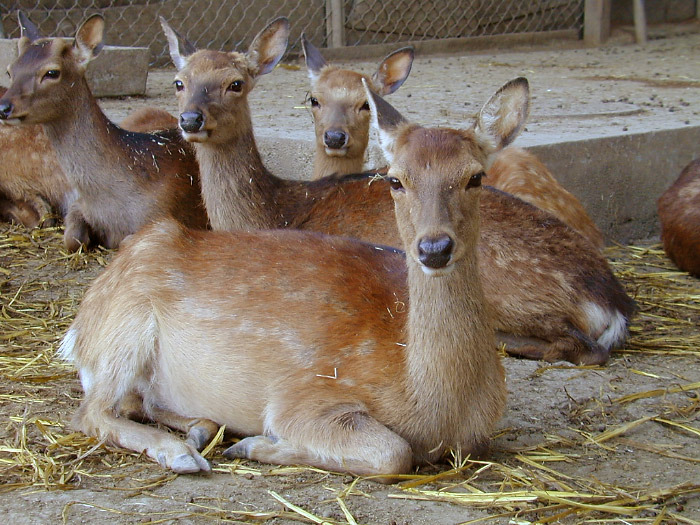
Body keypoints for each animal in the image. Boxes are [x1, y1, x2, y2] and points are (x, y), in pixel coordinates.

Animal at [0, 11, 208, 250]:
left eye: (52, 72)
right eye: (10, 71)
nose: (4, 107)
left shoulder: (166, 214)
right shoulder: (78, 204)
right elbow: (72, 239)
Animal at [58, 75, 524, 476]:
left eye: (475, 177)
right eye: (395, 180)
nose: (434, 248)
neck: (435, 406)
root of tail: (77, 332)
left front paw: (249, 444)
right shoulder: (302, 395)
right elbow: (393, 452)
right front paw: (257, 445)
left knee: (138, 402)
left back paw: (201, 430)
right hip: (125, 326)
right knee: (90, 412)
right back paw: (182, 453)